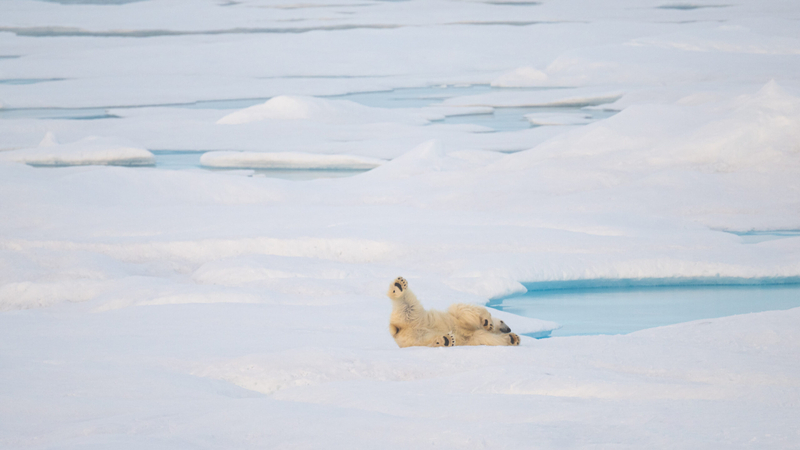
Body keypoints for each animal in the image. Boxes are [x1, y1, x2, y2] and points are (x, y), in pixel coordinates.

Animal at [386, 276, 520, 347]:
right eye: (502, 321)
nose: (509, 329)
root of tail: (397, 331)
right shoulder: (457, 316)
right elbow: (466, 311)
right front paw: (487, 322)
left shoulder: (473, 337)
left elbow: (487, 338)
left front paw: (513, 338)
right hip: (415, 316)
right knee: (407, 304)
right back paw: (398, 286)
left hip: (416, 339)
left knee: (428, 341)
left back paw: (445, 340)